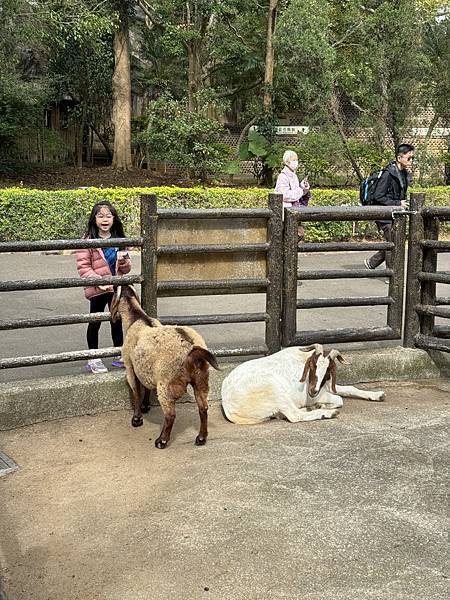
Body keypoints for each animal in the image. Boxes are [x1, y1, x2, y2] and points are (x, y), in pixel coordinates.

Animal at [110, 288, 220, 450]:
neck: (137, 319)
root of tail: (192, 347)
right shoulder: (145, 367)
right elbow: (146, 387)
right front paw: (145, 406)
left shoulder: (130, 366)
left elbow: (136, 391)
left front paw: (137, 419)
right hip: (201, 378)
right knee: (203, 408)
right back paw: (201, 438)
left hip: (166, 382)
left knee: (170, 414)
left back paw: (161, 441)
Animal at [221, 344, 384, 424]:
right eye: (312, 366)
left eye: (328, 370)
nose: (312, 391)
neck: (302, 358)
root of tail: (229, 408)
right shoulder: (314, 394)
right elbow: (339, 399)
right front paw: (324, 406)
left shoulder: (324, 387)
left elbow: (350, 388)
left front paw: (378, 395)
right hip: (275, 392)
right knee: (294, 416)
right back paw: (326, 413)